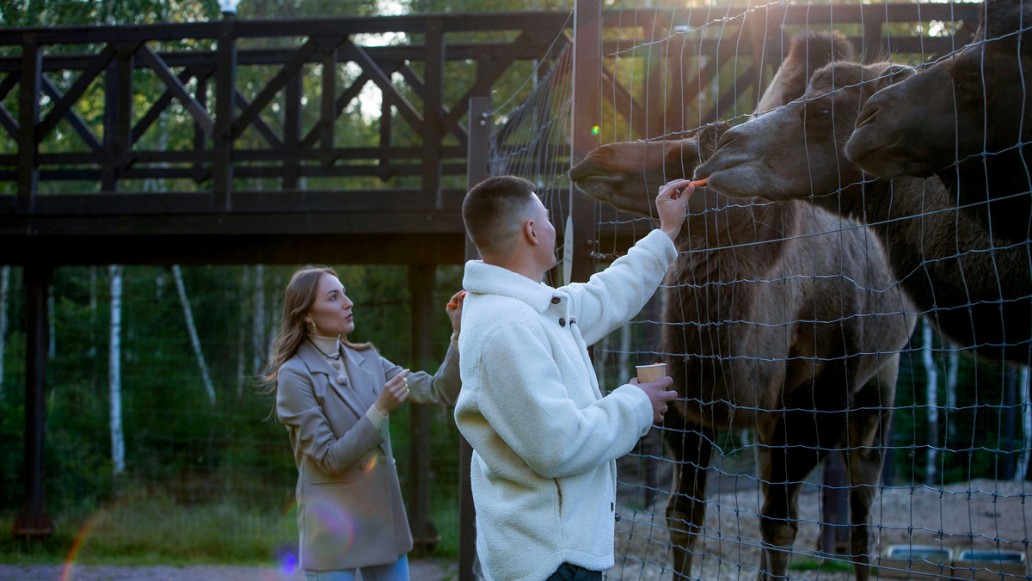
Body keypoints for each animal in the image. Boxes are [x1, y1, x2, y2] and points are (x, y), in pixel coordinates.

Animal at [569, 33, 916, 581]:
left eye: (686, 157)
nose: (595, 158)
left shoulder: (815, 401)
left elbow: (779, 525)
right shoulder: (687, 401)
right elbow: (683, 515)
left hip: (879, 380)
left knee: (862, 505)